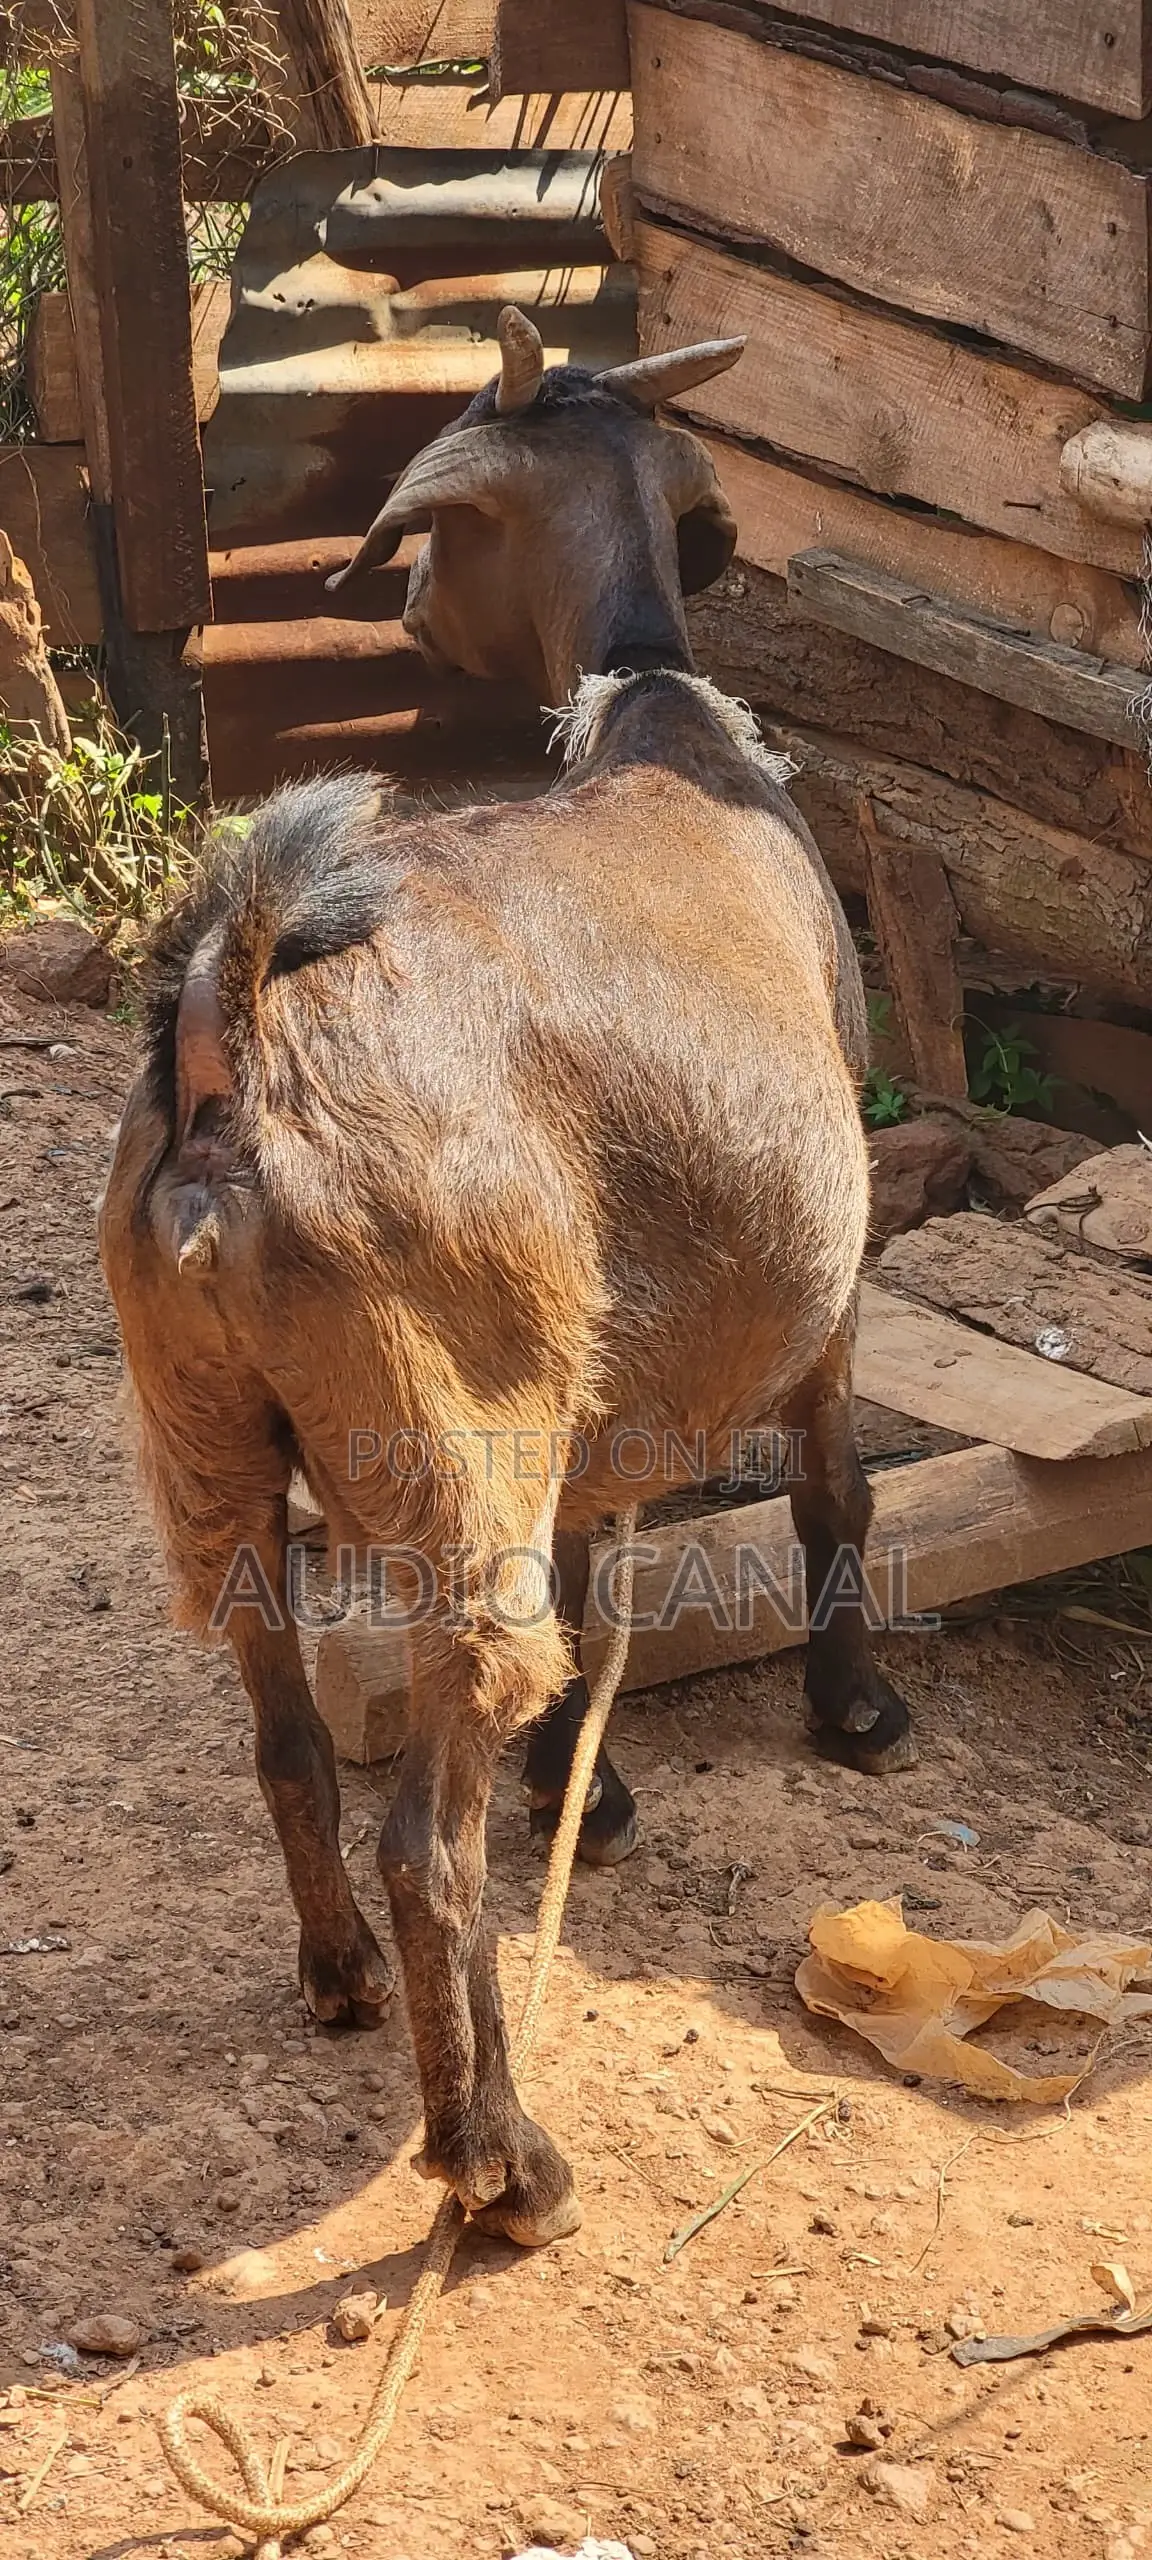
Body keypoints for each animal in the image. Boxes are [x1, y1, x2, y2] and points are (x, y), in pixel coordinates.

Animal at [99, 310, 914, 2248]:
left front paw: (589, 1788)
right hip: (449, 1438)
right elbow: (832, 1484)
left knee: (288, 1737)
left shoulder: (587, 1367)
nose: (395, 620)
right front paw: (855, 1712)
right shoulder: (828, 1267)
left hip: (215, 1441)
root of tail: (237, 1050)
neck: (658, 717)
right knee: (432, 1844)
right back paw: (499, 2158)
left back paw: (336, 1981)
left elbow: (603, 1565)